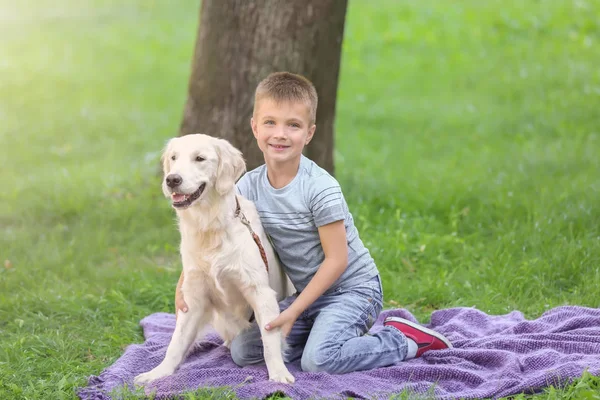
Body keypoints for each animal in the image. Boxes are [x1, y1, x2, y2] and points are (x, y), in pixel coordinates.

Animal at [135, 134, 296, 384]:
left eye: (200, 158)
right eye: (174, 158)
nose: (172, 179)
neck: (210, 227)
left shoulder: (261, 292)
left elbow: (270, 339)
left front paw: (279, 374)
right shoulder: (193, 296)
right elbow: (175, 342)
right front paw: (159, 373)